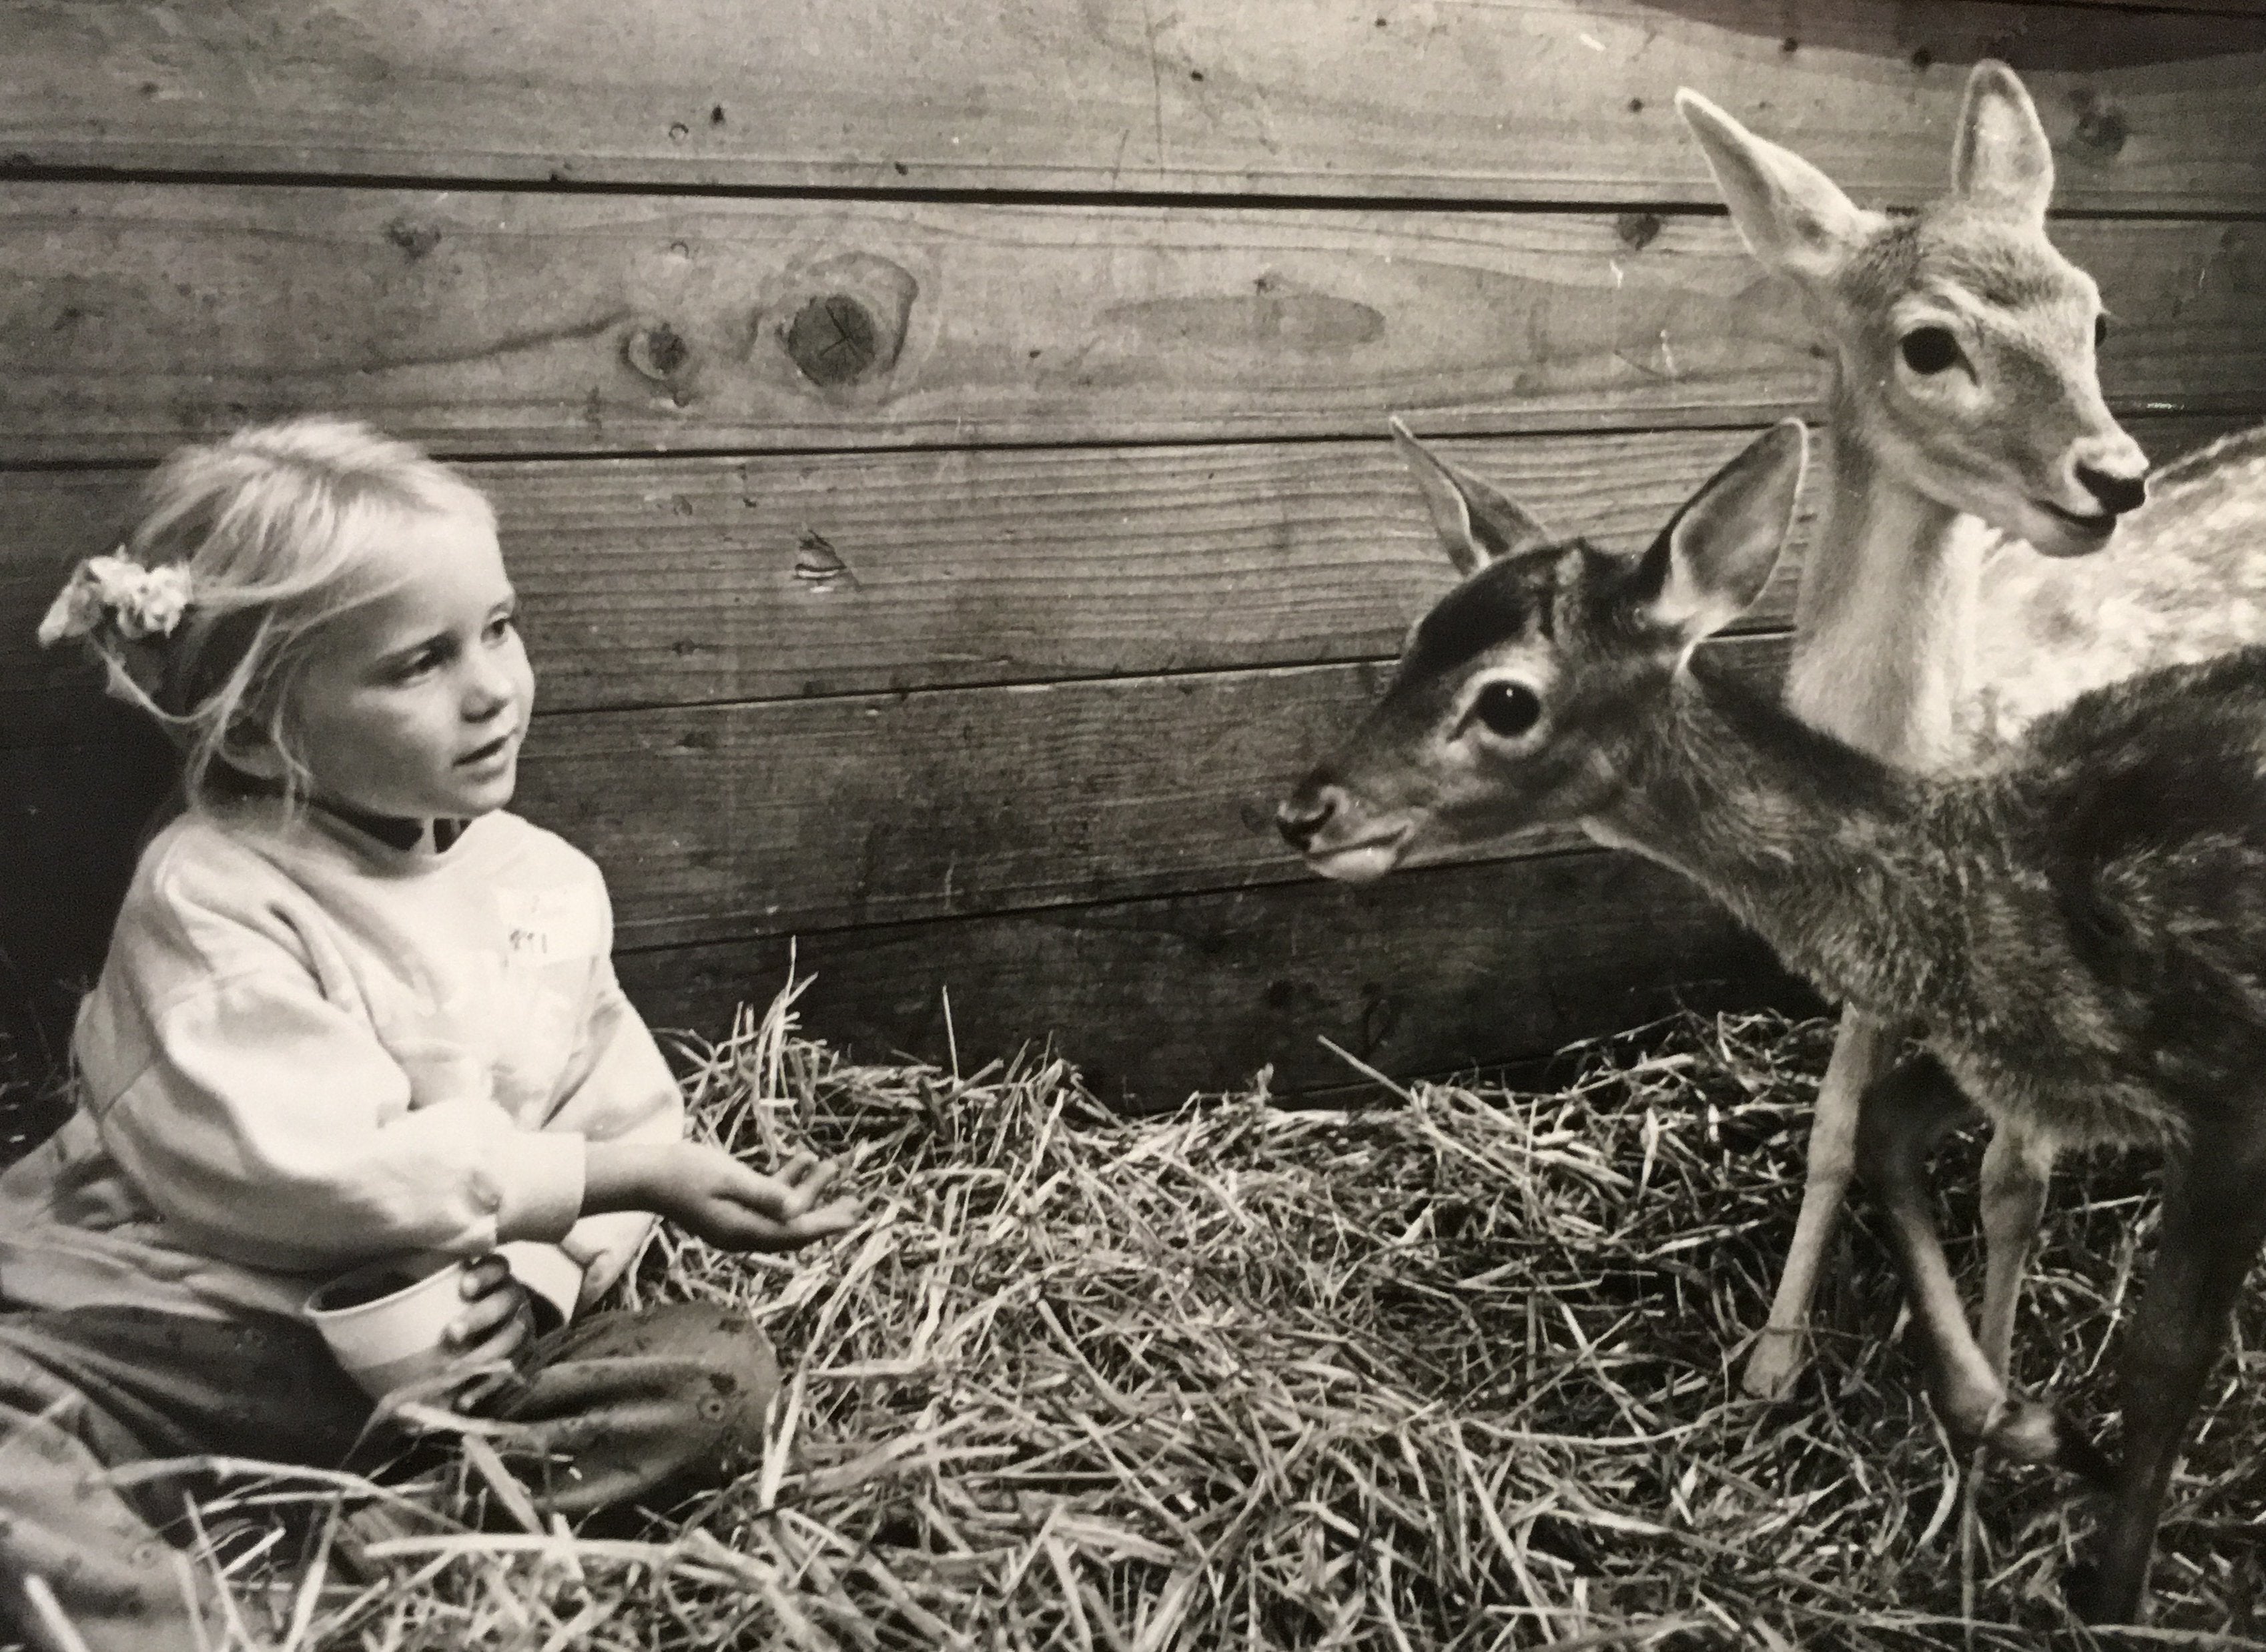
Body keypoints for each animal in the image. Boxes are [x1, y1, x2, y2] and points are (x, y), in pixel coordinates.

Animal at [1277, 418, 2266, 1625]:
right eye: (1416, 639)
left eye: (1507, 700)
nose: (1305, 811)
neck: (1996, 883)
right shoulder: (2011, 1059)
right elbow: (1880, 1132)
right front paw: (2029, 1426)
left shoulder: (2229, 1089)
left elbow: (2165, 1362)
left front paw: (2113, 1593)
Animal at [1674, 63, 2185, 1404]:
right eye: (1929, 342)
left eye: (2096, 320)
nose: (2114, 477)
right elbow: (1832, 1130)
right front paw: (1772, 1360)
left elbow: (2016, 1183)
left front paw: (1992, 1406)